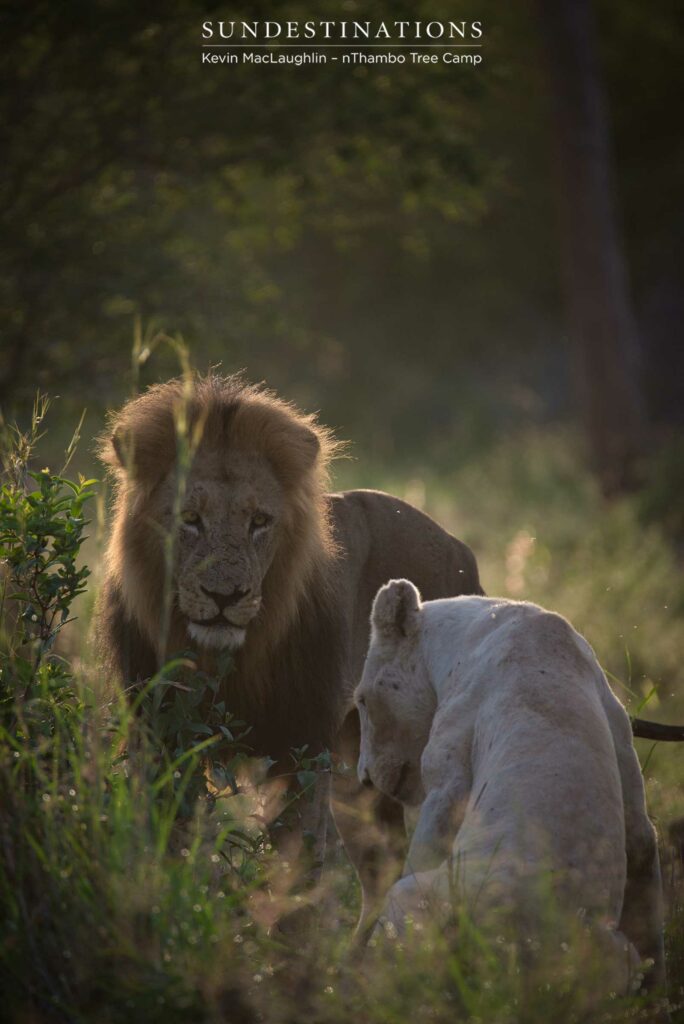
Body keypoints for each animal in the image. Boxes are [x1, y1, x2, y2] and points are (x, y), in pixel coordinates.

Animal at [96, 373, 484, 920]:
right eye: (190, 518)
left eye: (260, 521)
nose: (225, 596)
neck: (226, 659)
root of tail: (458, 545)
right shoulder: (162, 738)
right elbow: (168, 847)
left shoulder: (303, 746)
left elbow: (295, 872)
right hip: (359, 768)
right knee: (382, 869)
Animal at [355, 580, 665, 990]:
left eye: (360, 700)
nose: (364, 776)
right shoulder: (623, 747)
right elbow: (645, 857)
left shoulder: (448, 770)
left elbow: (423, 845)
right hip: (619, 953)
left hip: (411, 898)